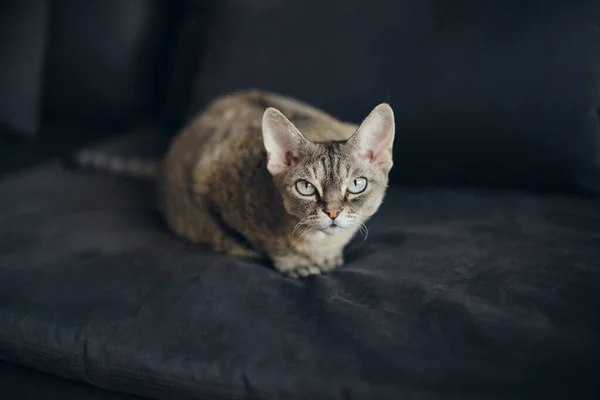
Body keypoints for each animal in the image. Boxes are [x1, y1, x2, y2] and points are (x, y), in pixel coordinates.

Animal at [76, 90, 394, 278]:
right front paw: (294, 261)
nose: (332, 212)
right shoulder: (206, 179)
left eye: (357, 185)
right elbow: (257, 241)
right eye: (305, 187)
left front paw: (326, 258)